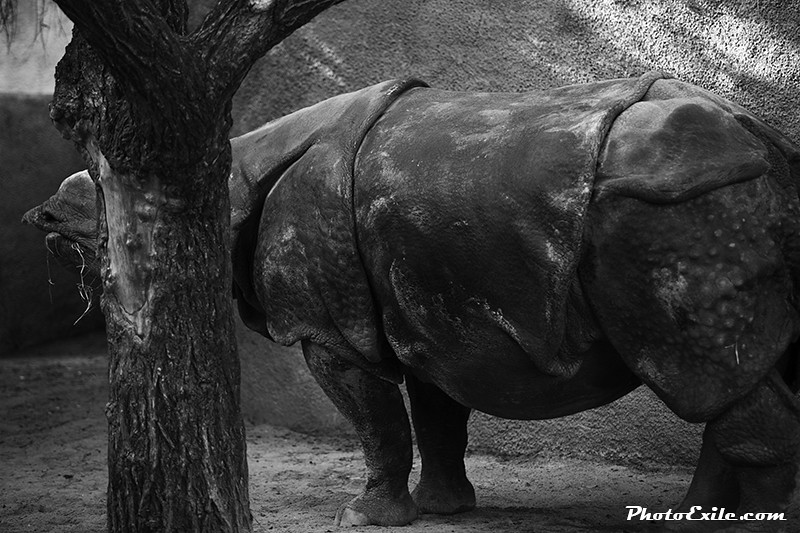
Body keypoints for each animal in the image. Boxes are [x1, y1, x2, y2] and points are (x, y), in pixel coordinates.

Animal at [24, 72, 800, 532]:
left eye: (93, 201)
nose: (42, 215)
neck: (236, 173)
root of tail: (763, 136)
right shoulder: (430, 311)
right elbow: (437, 416)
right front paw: (445, 508)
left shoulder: (329, 328)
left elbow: (378, 421)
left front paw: (365, 517)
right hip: (706, 198)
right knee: (738, 377)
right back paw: (687, 515)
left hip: (674, 206)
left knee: (704, 375)